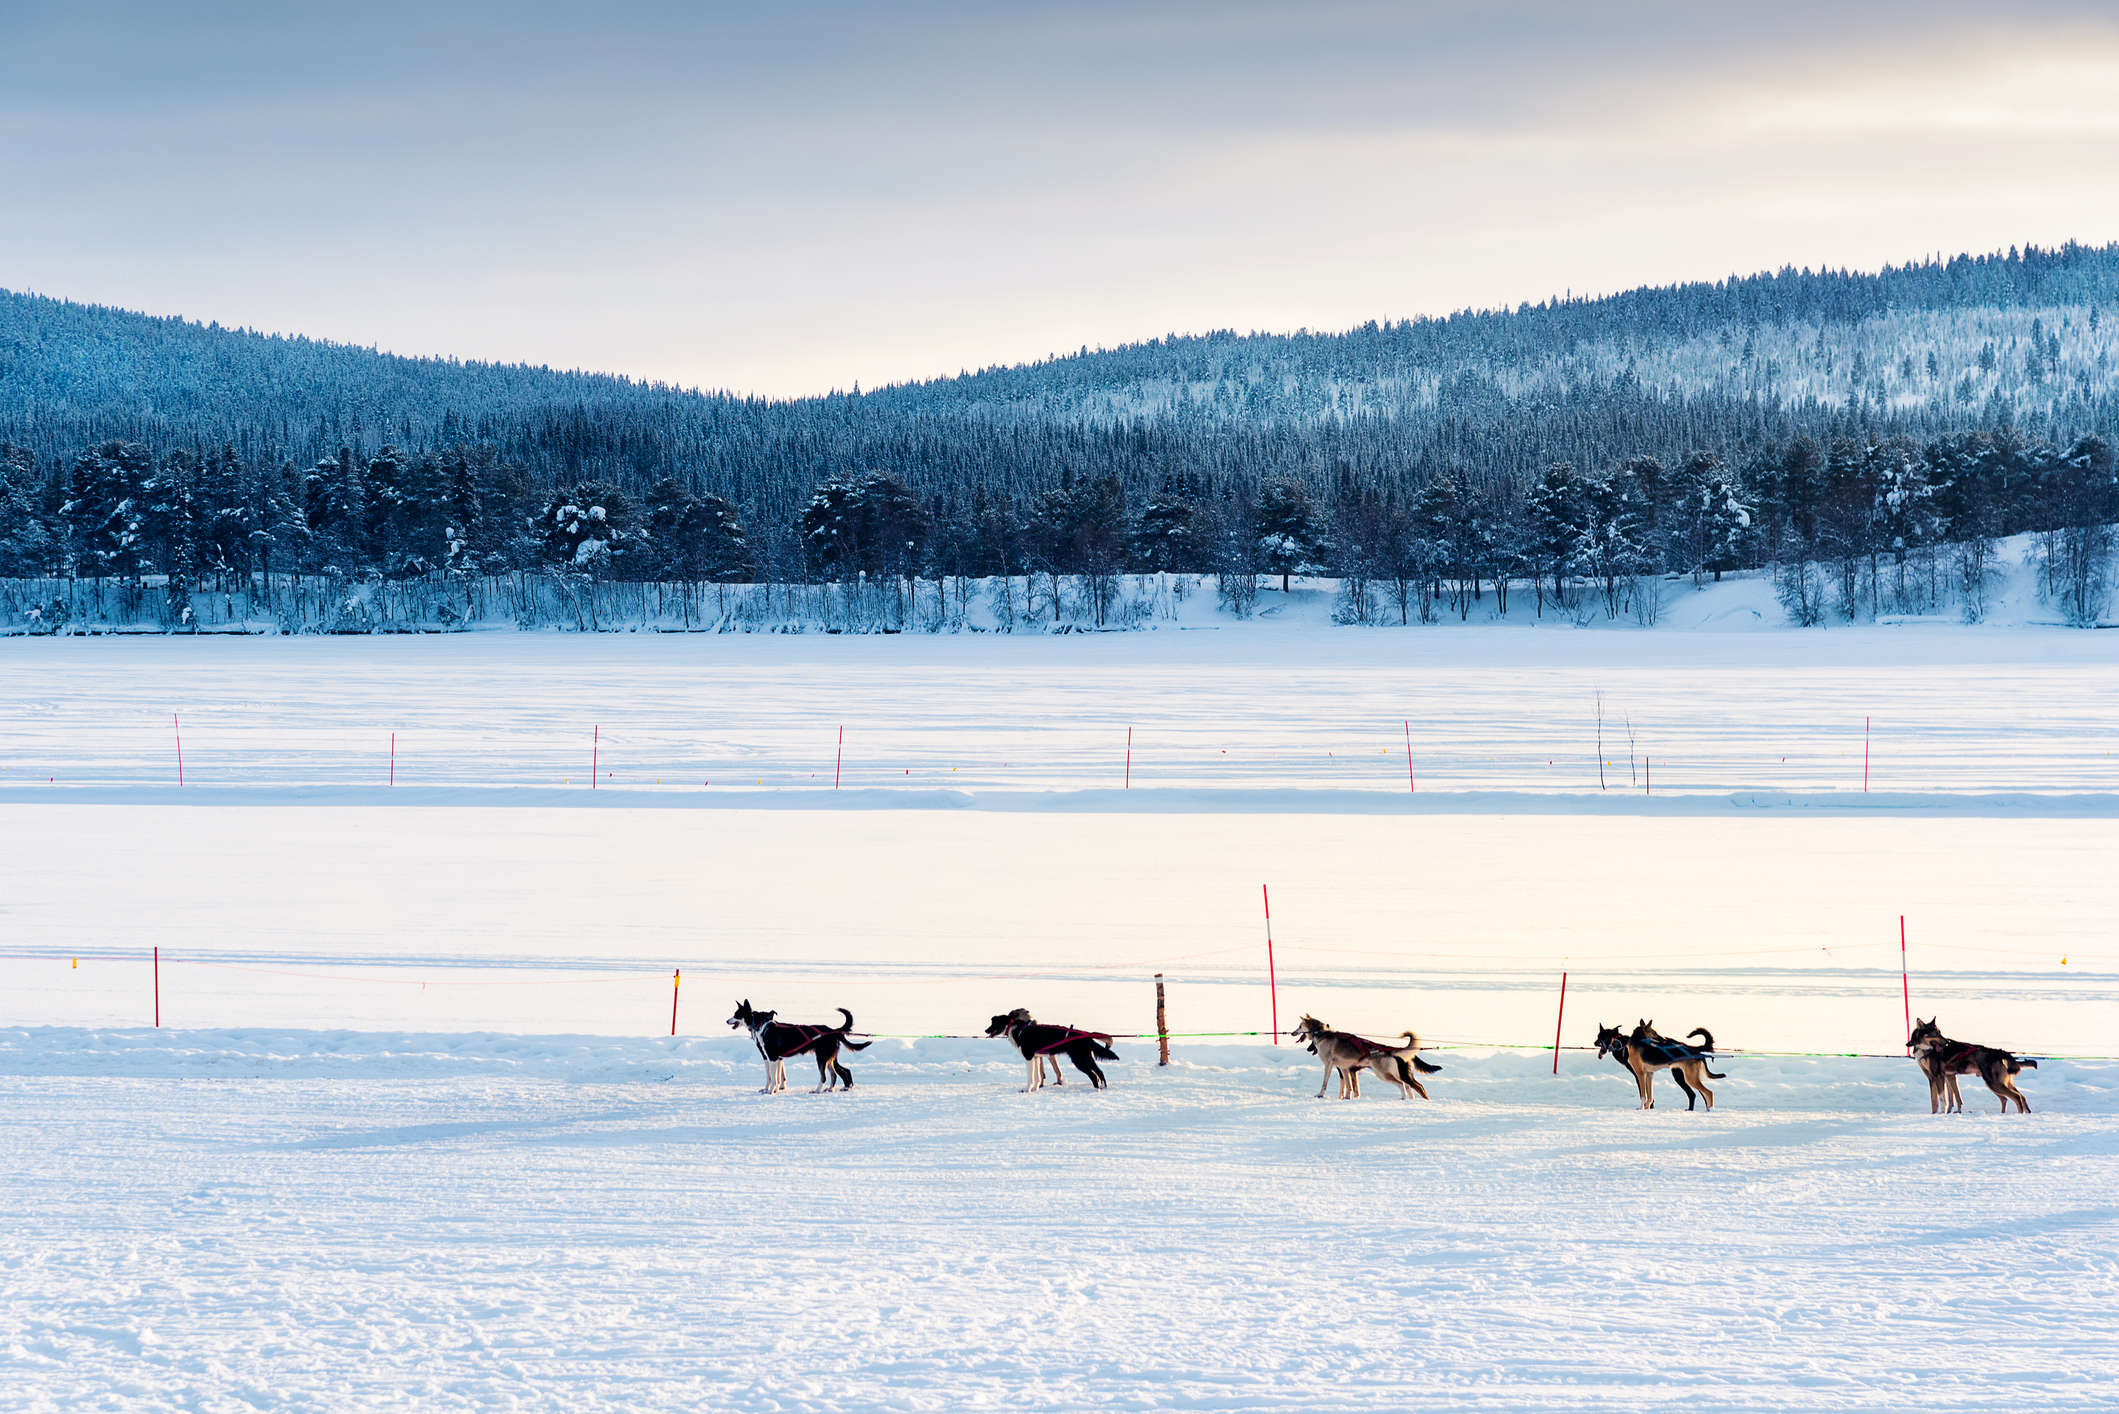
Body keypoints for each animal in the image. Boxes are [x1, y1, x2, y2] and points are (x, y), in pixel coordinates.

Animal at [724, 996, 864, 1093]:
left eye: (736, 1014)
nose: (726, 1021)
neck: (761, 1025)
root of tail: (833, 1030)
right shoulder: (774, 1058)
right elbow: (774, 1077)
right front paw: (772, 1089)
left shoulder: (772, 1058)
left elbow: (773, 1078)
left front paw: (770, 1091)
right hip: (829, 1058)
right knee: (836, 1073)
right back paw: (833, 1089)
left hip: (821, 1058)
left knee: (824, 1076)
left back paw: (817, 1090)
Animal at [983, 1004, 1118, 1093]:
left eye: (994, 1023)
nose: (986, 1030)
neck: (1018, 1030)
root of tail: (1086, 1035)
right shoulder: (1036, 1057)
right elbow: (1038, 1077)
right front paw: (1036, 1088)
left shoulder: (1028, 1058)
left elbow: (1031, 1077)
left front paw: (1027, 1089)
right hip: (1087, 1058)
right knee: (1100, 1072)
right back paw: (1103, 1088)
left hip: (1079, 1060)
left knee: (1094, 1075)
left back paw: (1097, 1090)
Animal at [1288, 1013, 1440, 1102]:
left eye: (1299, 1026)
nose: (1292, 1033)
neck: (1322, 1033)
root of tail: (1390, 1049)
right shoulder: (1345, 1069)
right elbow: (1348, 1087)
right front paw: (1346, 1098)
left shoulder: (1328, 1065)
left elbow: (1325, 1083)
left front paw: (1320, 1095)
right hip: (1395, 1074)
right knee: (1410, 1086)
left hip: (1383, 1074)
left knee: (1403, 1085)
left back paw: (1403, 1098)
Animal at [1593, 1021, 1729, 1110]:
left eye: (1601, 1037)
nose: (1594, 1042)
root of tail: (1697, 1051)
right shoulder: (1649, 1074)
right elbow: (1650, 1096)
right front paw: (1648, 1108)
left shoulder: (1640, 1074)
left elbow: (1643, 1095)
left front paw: (1641, 1108)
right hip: (1691, 1077)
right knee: (1703, 1094)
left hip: (1689, 1078)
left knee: (1708, 1093)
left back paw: (1709, 1111)